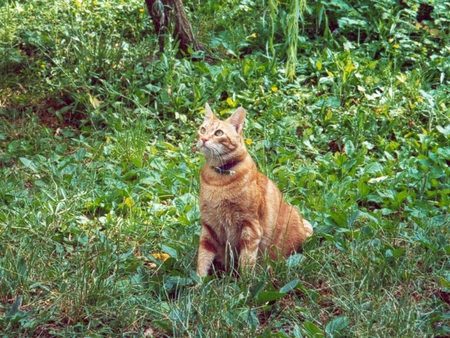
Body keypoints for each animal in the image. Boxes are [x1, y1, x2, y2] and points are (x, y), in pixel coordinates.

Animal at [197, 103, 312, 278]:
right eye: (202, 129)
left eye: (218, 133)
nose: (203, 139)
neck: (218, 181)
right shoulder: (209, 225)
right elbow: (203, 258)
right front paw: (198, 282)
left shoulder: (250, 225)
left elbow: (247, 261)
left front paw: (245, 283)